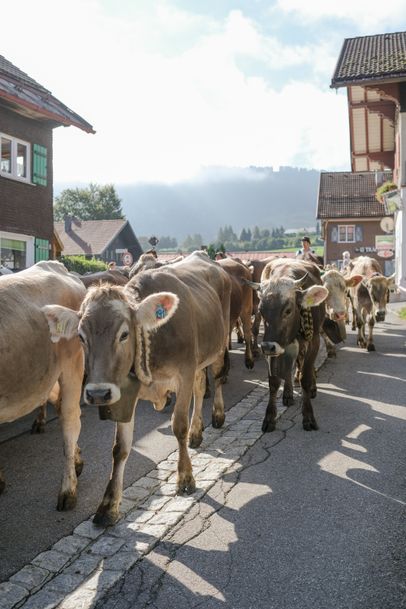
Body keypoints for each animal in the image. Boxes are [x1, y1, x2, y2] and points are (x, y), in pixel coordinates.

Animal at [249, 256, 328, 432]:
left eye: (288, 310)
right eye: (261, 310)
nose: (266, 347)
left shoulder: (314, 341)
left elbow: (305, 378)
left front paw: (308, 416)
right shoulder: (274, 345)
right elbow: (273, 382)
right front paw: (269, 417)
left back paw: (311, 388)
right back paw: (287, 394)